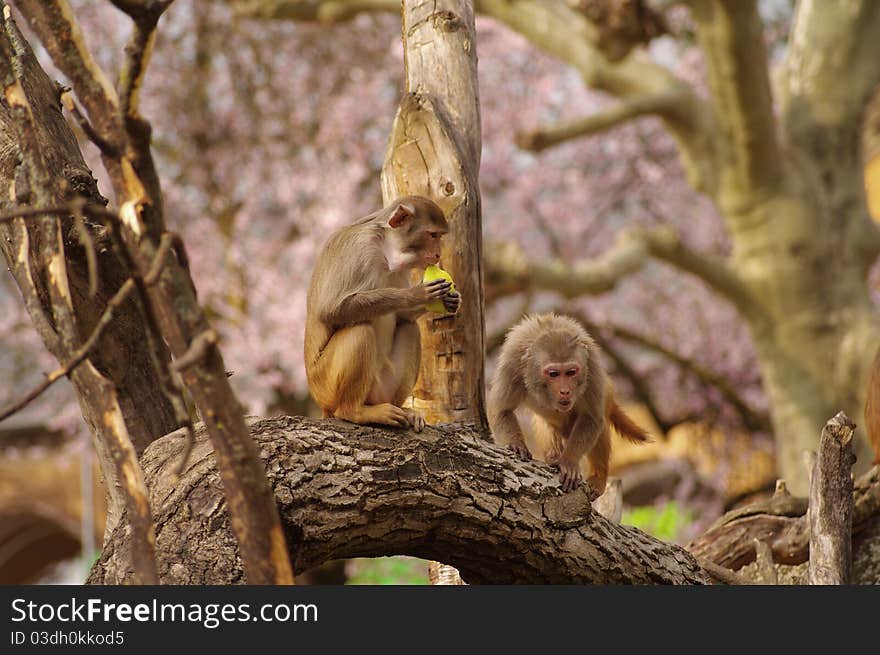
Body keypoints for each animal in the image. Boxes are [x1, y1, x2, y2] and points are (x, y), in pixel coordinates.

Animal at [304, 195, 460, 430]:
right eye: (433, 235)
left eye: (440, 236)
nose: (438, 253)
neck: (386, 247)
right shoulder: (361, 249)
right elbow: (329, 310)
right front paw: (416, 294)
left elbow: (403, 317)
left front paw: (451, 300)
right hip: (324, 386)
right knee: (359, 331)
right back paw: (354, 411)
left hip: (381, 388)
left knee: (410, 328)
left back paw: (403, 410)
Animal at [488, 316, 652, 494]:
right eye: (554, 374)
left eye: (571, 372)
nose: (565, 391)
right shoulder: (512, 365)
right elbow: (502, 410)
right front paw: (517, 445)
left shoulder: (590, 366)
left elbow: (591, 417)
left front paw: (568, 461)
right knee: (548, 426)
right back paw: (553, 457)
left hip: (604, 391)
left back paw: (599, 476)